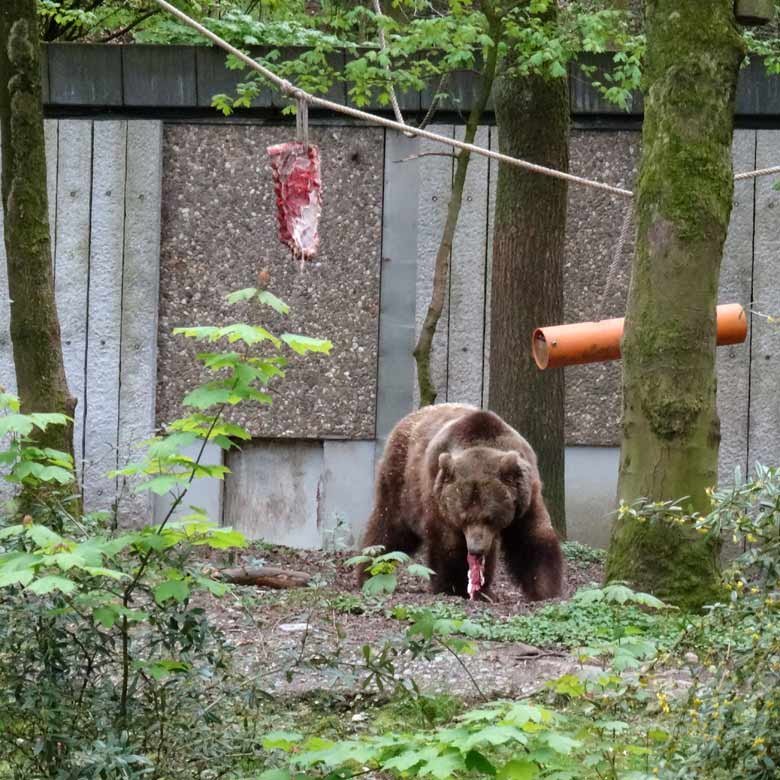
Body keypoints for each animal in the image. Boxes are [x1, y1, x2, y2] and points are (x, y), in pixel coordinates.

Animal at [356, 406, 564, 600]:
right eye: (464, 518)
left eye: (490, 517)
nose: (476, 549)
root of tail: (408, 418)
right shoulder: (438, 496)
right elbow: (448, 545)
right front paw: (456, 587)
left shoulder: (525, 497)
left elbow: (532, 539)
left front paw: (545, 588)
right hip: (401, 483)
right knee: (388, 530)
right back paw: (368, 572)